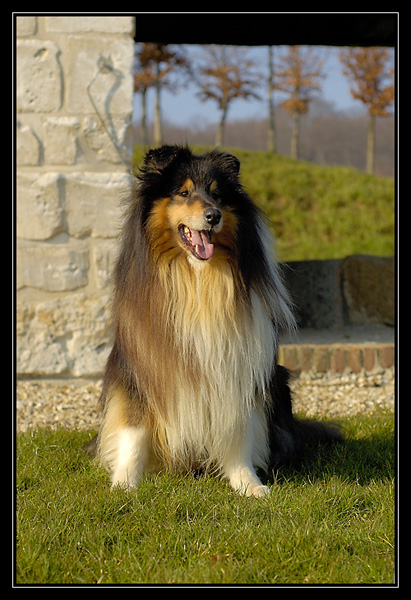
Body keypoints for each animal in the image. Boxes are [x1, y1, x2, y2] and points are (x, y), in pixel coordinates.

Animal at [90, 145, 342, 496]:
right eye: (183, 192)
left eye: (217, 195)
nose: (213, 216)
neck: (198, 280)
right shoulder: (140, 368)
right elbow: (134, 432)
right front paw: (125, 484)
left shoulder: (239, 365)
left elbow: (237, 430)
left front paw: (248, 484)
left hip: (278, 381)